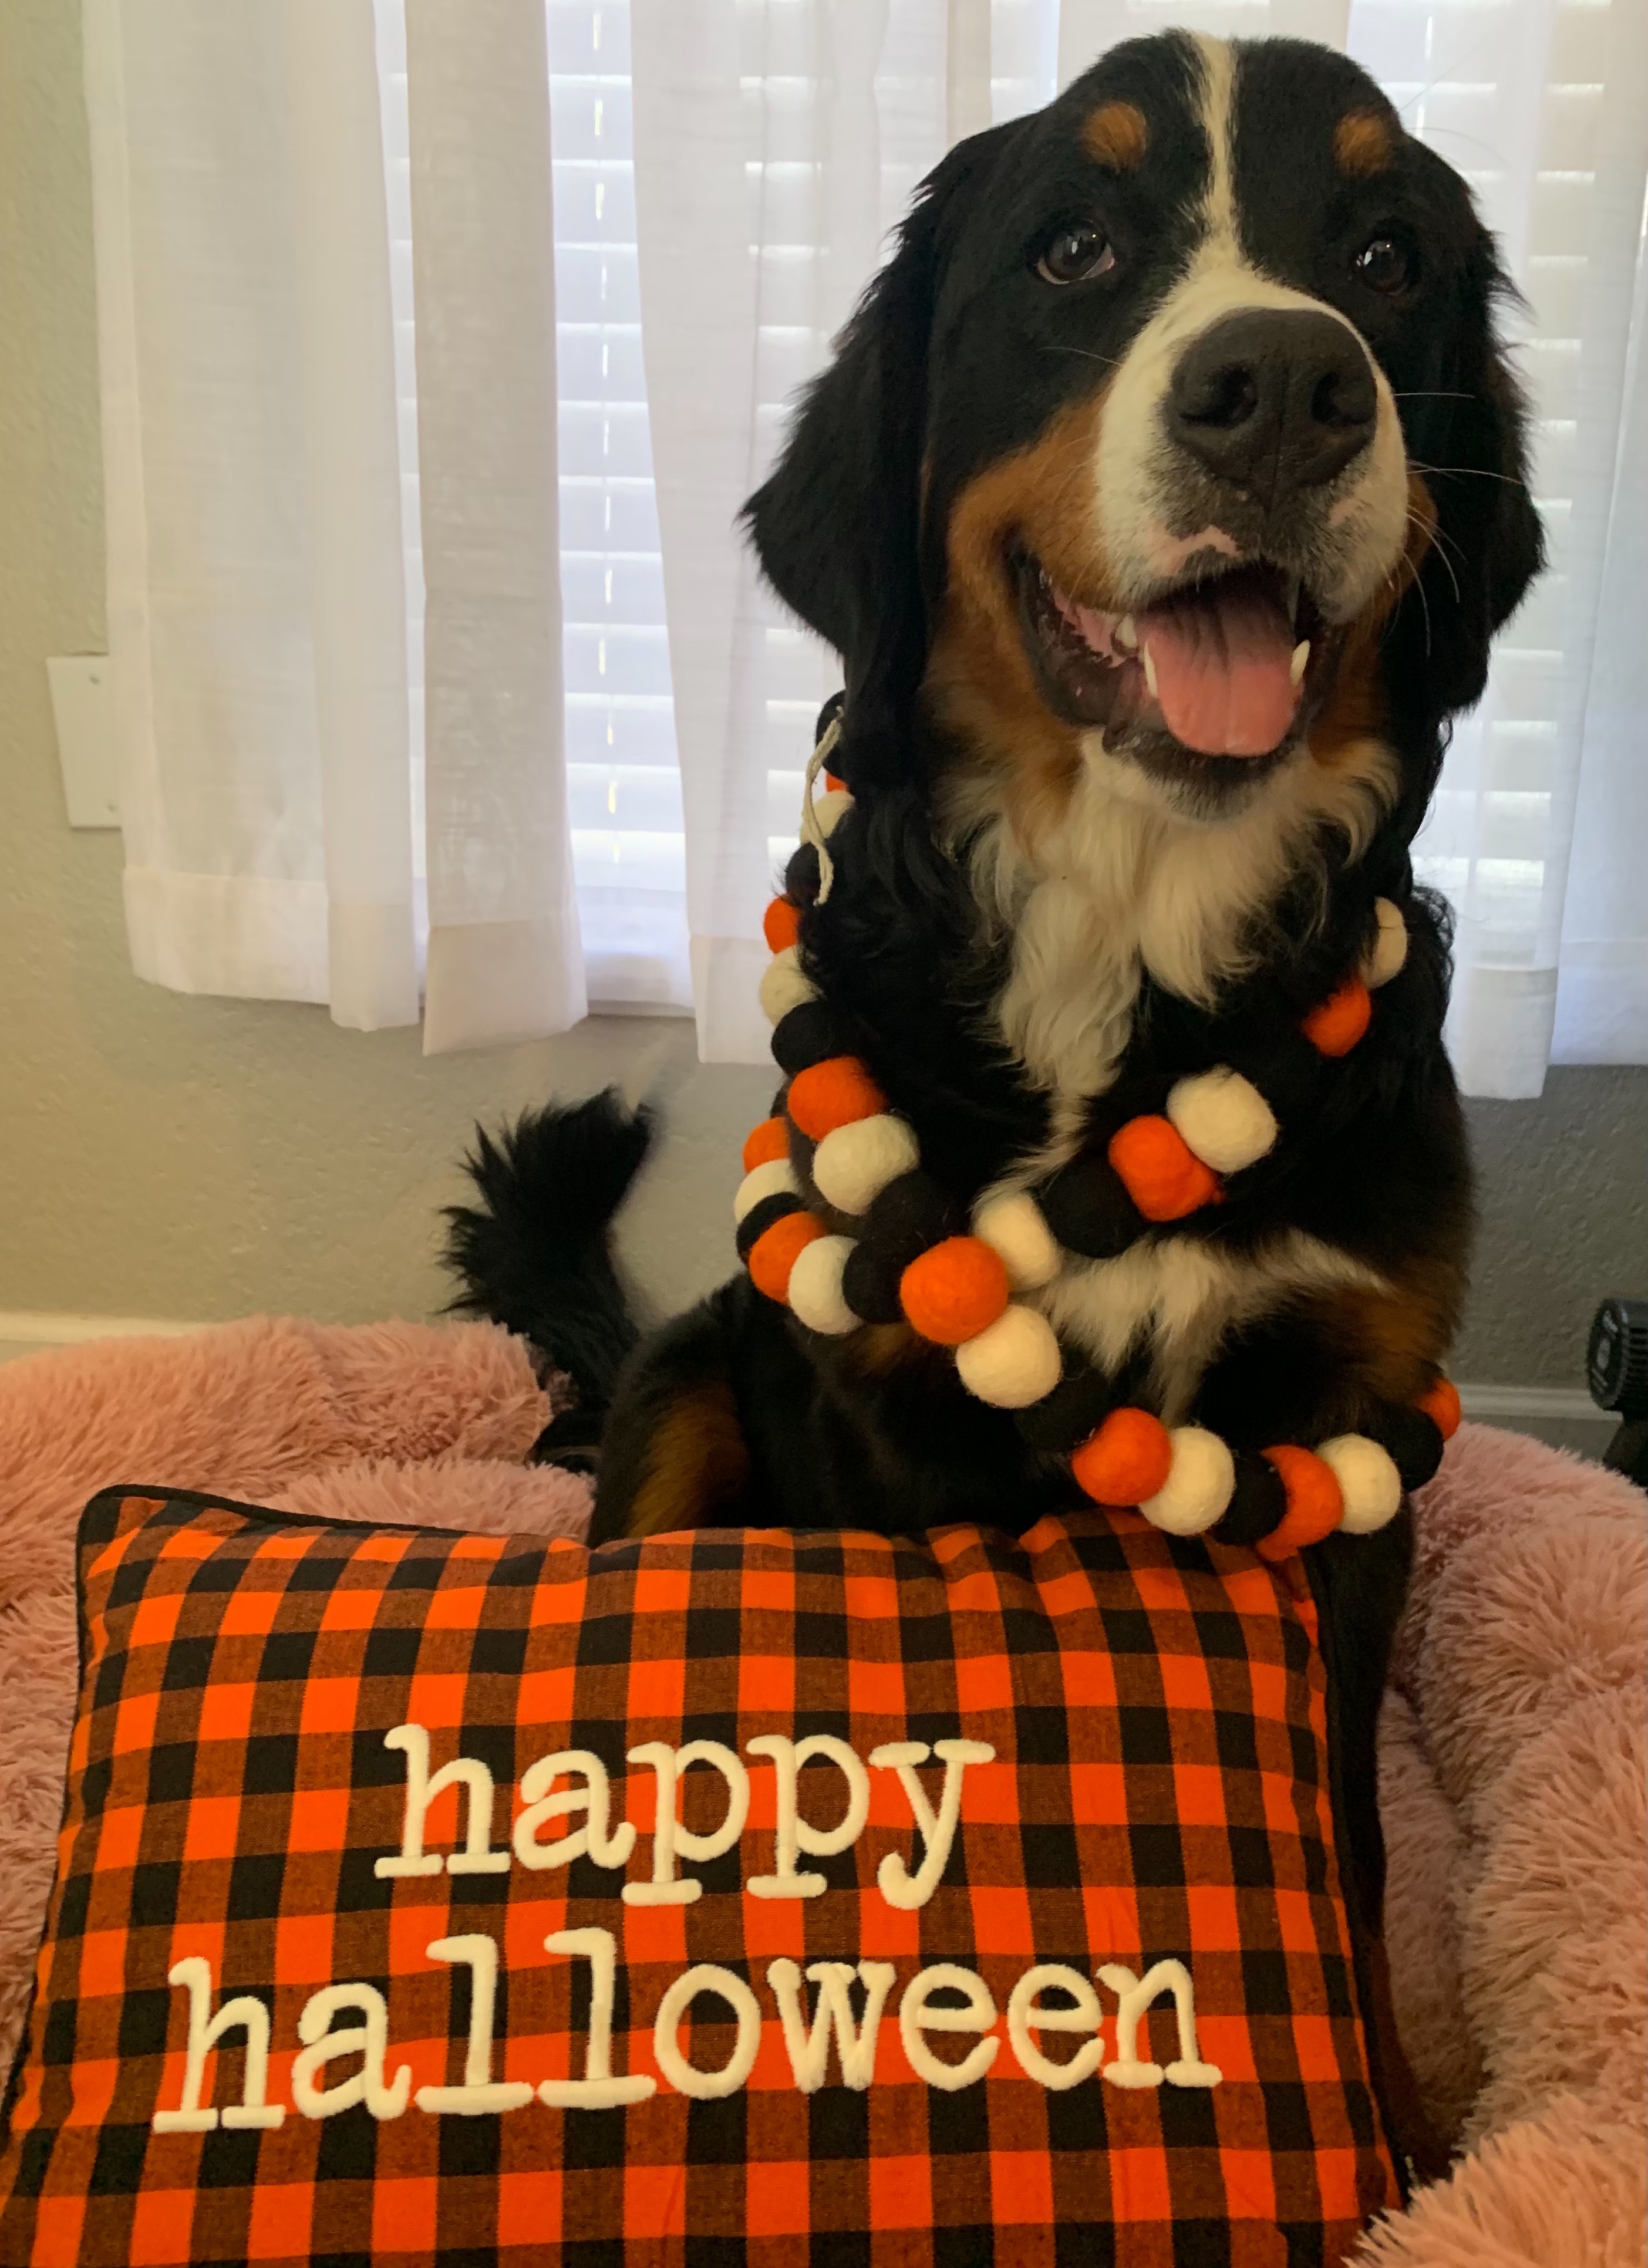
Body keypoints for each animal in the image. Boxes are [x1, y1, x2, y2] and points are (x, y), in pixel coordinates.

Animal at [449, 26, 1552, 1950]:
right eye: (1071, 251)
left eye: (1384, 257)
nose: (1283, 384)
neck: (1131, 921)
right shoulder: (881, 1433)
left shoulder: (1345, 1435)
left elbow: (1343, 1849)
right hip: (686, 1397)